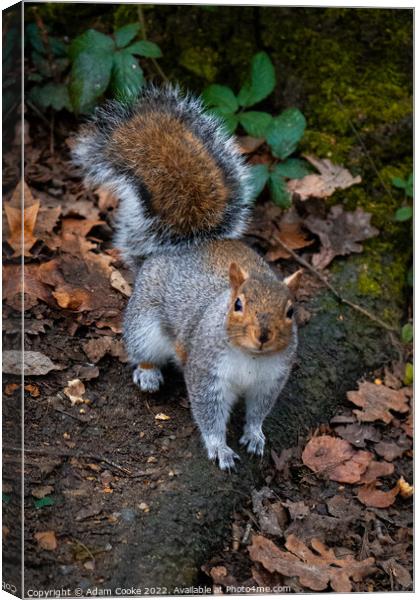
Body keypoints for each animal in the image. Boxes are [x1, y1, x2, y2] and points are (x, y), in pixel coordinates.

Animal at [73, 85, 302, 468]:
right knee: (141, 350)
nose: (263, 335)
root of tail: (180, 247)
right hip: (144, 324)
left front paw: (254, 435)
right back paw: (148, 373)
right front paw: (219, 447)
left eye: (290, 311)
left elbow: (258, 411)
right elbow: (209, 413)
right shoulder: (206, 373)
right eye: (237, 304)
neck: (251, 358)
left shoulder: (270, 381)